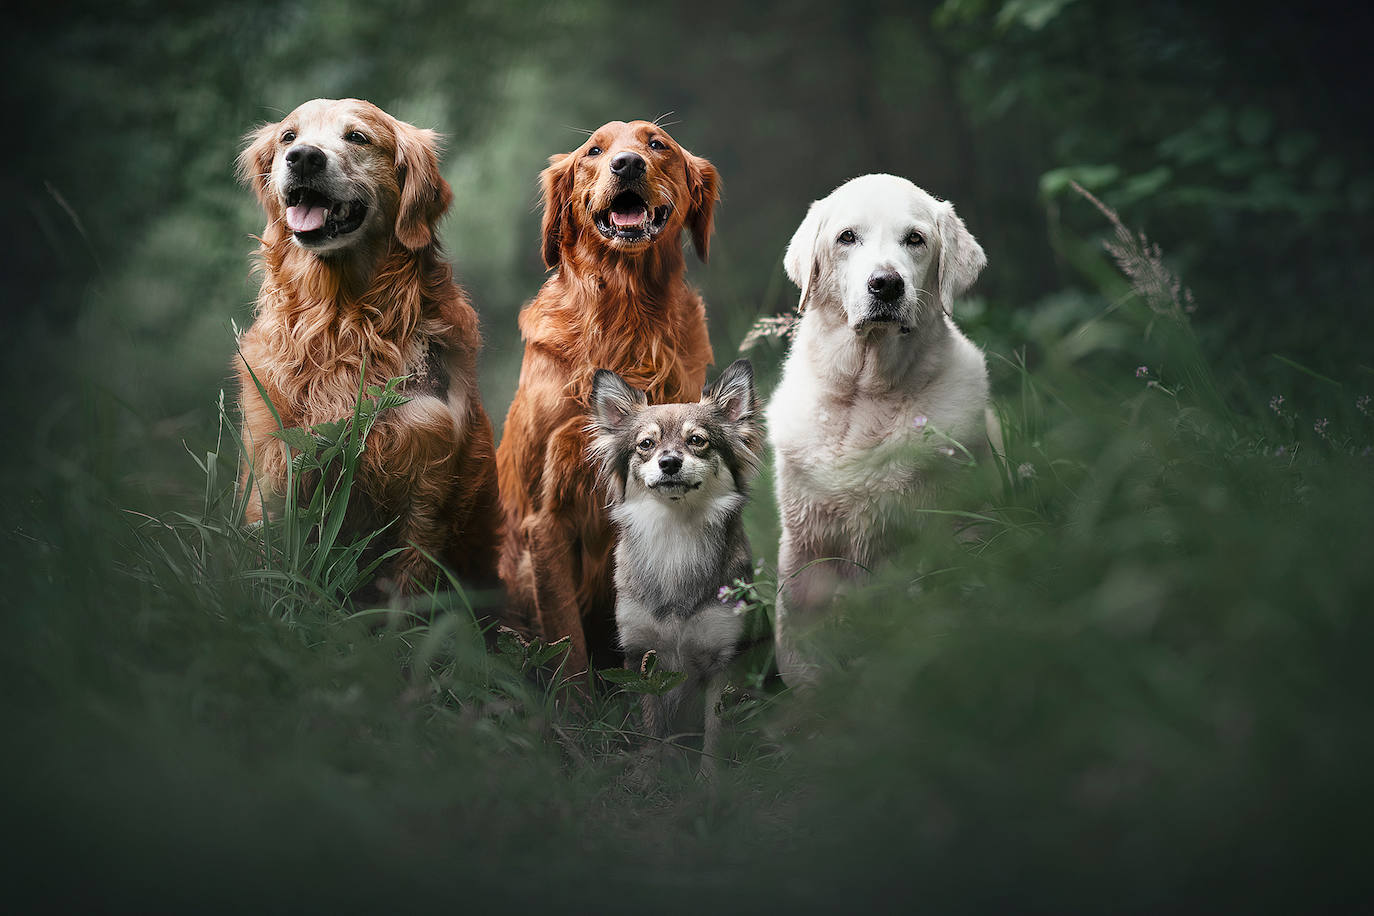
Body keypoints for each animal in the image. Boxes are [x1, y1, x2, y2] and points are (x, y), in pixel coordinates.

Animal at [239, 98, 502, 601]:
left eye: (358, 137)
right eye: (288, 136)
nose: (303, 157)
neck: (342, 323)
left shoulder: (427, 480)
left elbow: (408, 587)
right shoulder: (272, 466)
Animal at [588, 357, 763, 769]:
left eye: (697, 441)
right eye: (646, 445)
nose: (669, 462)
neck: (675, 531)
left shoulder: (721, 663)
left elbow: (714, 736)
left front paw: (709, 781)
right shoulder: (642, 658)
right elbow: (652, 732)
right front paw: (651, 774)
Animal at [769, 175, 994, 683]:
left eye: (915, 239)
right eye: (846, 237)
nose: (886, 284)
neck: (866, 395)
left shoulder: (956, 530)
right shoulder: (806, 551)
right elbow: (803, 658)